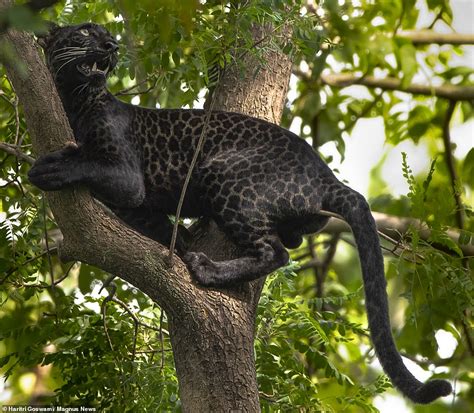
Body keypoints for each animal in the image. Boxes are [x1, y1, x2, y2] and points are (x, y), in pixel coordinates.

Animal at [26, 21, 452, 402]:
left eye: (106, 35)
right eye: (85, 32)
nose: (111, 45)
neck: (76, 101)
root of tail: (328, 178)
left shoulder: (128, 177)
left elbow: (88, 163)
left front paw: (50, 169)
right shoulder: (136, 206)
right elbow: (161, 228)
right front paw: (181, 242)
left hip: (223, 175)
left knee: (275, 253)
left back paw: (208, 269)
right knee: (289, 242)